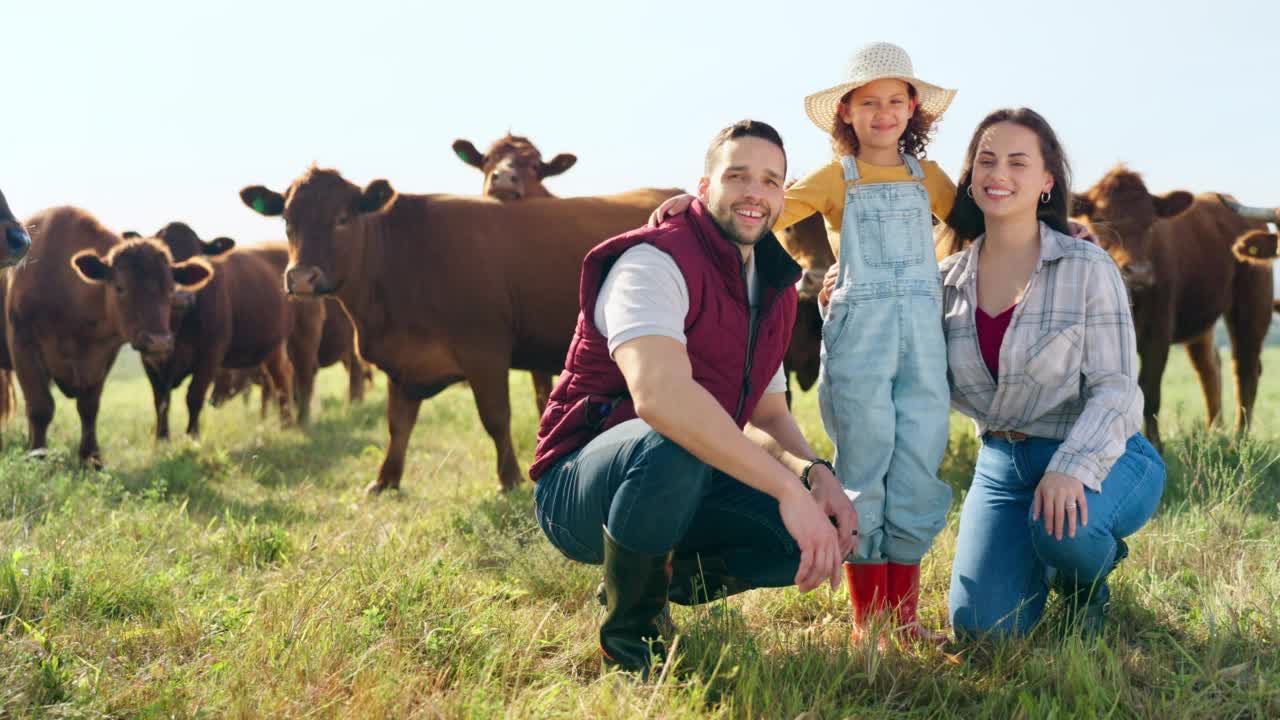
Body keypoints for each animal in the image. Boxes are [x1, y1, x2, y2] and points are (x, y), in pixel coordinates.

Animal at [5, 206, 209, 466]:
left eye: (171, 288)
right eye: (120, 287)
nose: (159, 341)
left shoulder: (104, 354)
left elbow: (89, 407)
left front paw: (91, 458)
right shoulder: (23, 344)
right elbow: (40, 407)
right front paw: (38, 456)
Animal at [138, 222, 295, 438]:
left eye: (197, 257)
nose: (182, 297)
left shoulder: (211, 353)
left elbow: (194, 396)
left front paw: (192, 437)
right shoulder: (149, 358)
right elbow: (161, 402)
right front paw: (161, 439)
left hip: (277, 344)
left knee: (281, 379)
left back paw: (287, 424)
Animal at [239, 166, 680, 491]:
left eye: (343, 218)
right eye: (287, 221)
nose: (301, 278)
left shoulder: (485, 350)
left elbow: (495, 417)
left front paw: (509, 479)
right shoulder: (403, 363)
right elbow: (398, 424)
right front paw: (385, 480)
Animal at [1075, 166, 1274, 445]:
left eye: (1151, 222)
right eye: (1101, 219)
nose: (1139, 272)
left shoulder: (1158, 333)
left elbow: (1149, 393)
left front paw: (1155, 445)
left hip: (1252, 306)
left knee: (1245, 369)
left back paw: (1239, 439)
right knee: (1210, 368)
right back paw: (1213, 434)